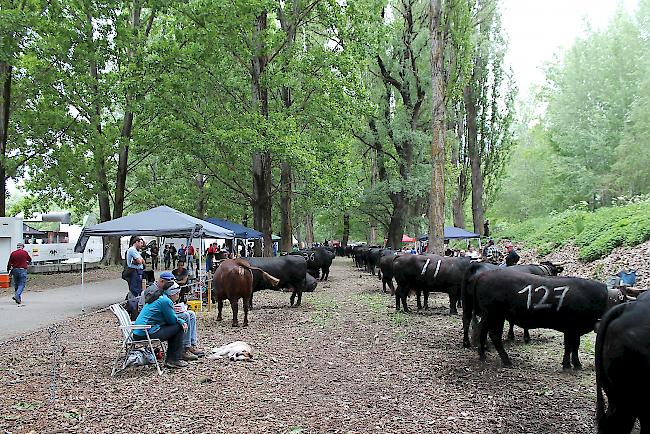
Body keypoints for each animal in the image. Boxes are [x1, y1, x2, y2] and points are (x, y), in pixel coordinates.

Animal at [460, 270, 608, 368]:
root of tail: (482, 275)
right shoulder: (572, 327)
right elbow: (570, 346)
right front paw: (570, 364)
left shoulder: (573, 329)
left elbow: (574, 346)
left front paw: (574, 363)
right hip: (493, 314)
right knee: (492, 334)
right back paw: (506, 360)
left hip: (493, 316)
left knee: (484, 331)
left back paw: (483, 355)